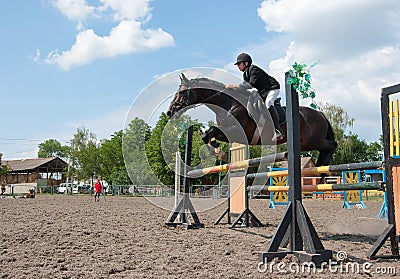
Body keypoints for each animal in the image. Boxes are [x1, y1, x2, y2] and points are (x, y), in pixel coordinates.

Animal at [166, 73, 338, 167]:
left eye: (181, 93)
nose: (169, 112)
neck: (228, 104)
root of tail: (321, 114)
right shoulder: (231, 134)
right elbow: (207, 134)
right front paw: (217, 152)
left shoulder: (237, 131)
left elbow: (211, 131)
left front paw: (219, 153)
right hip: (306, 143)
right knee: (324, 149)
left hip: (314, 140)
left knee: (332, 145)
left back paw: (322, 171)